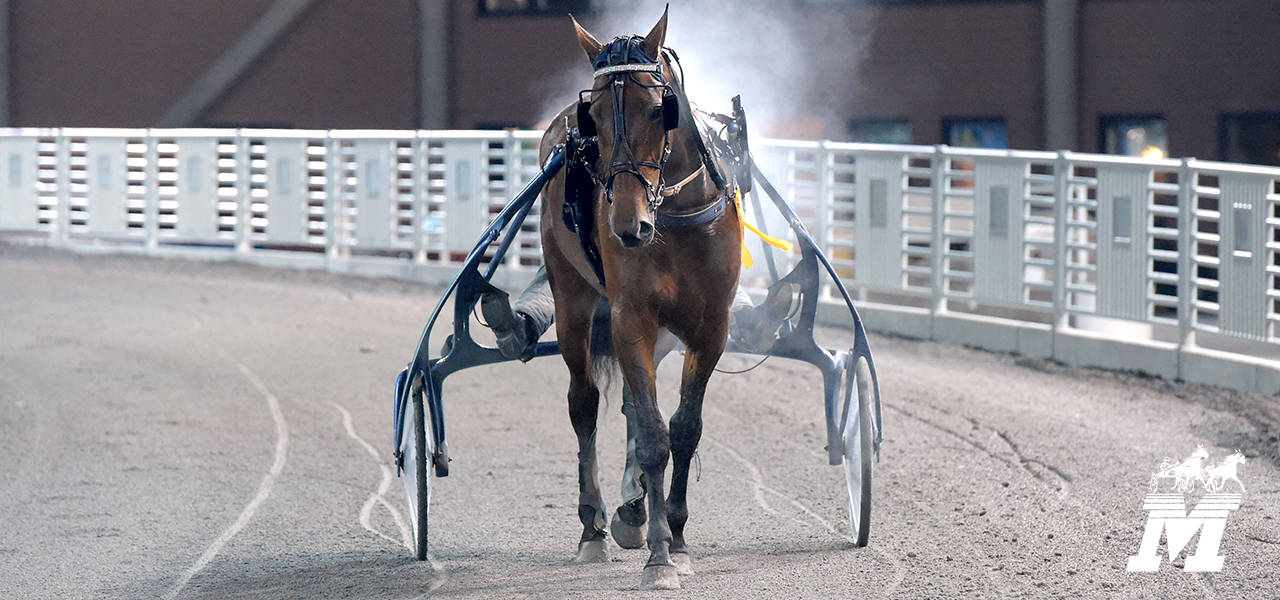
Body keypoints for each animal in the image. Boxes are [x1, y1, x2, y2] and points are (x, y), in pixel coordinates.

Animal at [535, 8, 747, 588]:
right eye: (594, 118)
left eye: (659, 109)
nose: (628, 227)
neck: (676, 217)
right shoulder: (631, 318)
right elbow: (654, 434)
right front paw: (659, 556)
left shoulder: (710, 328)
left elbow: (684, 428)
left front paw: (675, 534)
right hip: (573, 299)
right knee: (583, 403)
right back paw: (593, 528)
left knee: (632, 402)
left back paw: (632, 510)